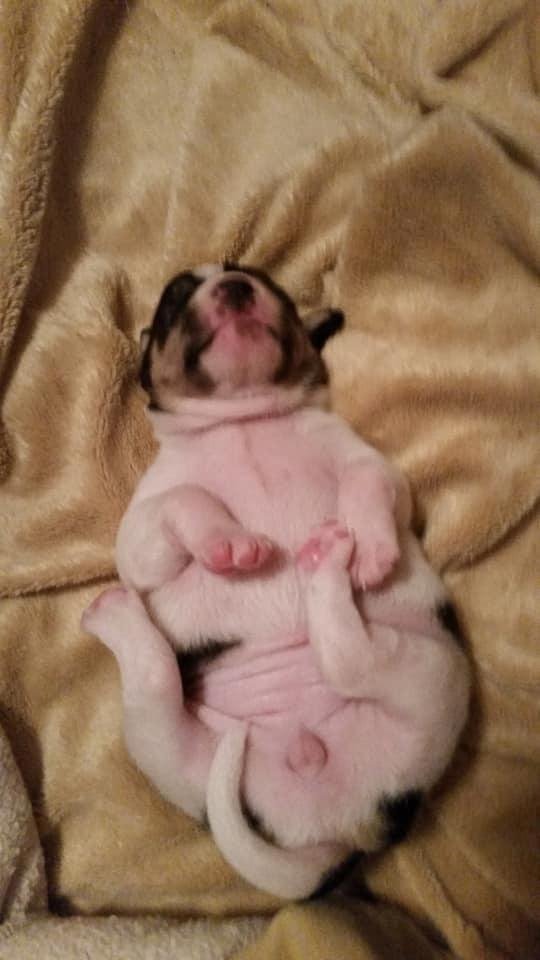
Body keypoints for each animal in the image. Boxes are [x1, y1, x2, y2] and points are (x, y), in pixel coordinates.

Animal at [82, 263, 471, 898]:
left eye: (266, 282)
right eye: (175, 297)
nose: (236, 287)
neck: (247, 419)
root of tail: (331, 826)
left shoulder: (375, 466)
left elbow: (368, 483)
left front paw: (376, 549)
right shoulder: (140, 531)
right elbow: (187, 503)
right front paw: (230, 544)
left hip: (434, 678)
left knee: (351, 658)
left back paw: (331, 559)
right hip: (165, 746)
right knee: (161, 681)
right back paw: (114, 613)